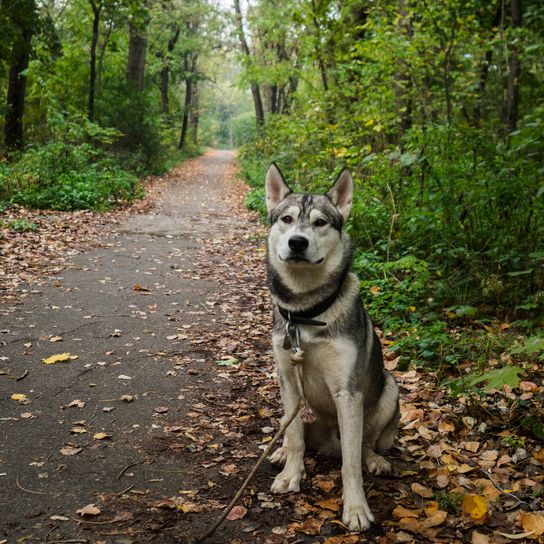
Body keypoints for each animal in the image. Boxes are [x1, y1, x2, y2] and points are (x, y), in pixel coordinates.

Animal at [264, 164, 400, 528]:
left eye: (321, 222)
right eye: (286, 219)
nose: (297, 242)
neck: (307, 313)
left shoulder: (347, 392)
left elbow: (351, 463)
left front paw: (356, 508)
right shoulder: (288, 379)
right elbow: (295, 438)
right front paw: (290, 474)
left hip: (390, 390)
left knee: (365, 444)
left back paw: (375, 459)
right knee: (293, 430)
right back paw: (279, 451)